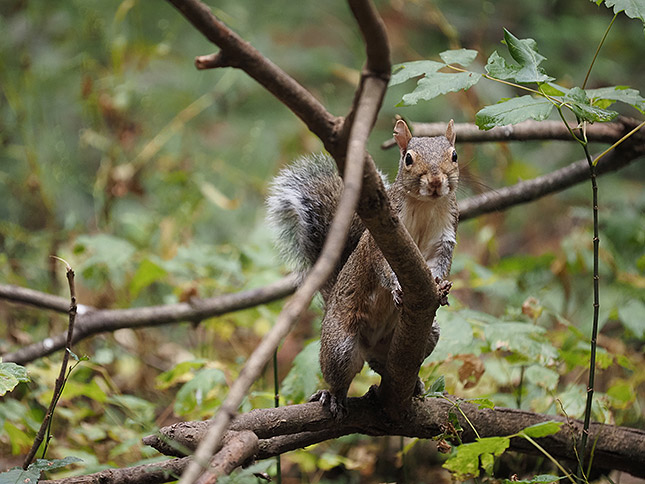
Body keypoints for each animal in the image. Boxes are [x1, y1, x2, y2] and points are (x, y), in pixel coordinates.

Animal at [267, 119, 458, 418]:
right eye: (408, 159)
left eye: (454, 155)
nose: (437, 181)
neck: (425, 206)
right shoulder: (379, 241)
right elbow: (382, 268)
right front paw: (397, 287)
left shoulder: (445, 236)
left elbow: (441, 262)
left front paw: (442, 287)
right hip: (340, 347)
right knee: (340, 374)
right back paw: (332, 395)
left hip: (428, 335)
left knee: (380, 365)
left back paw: (413, 381)